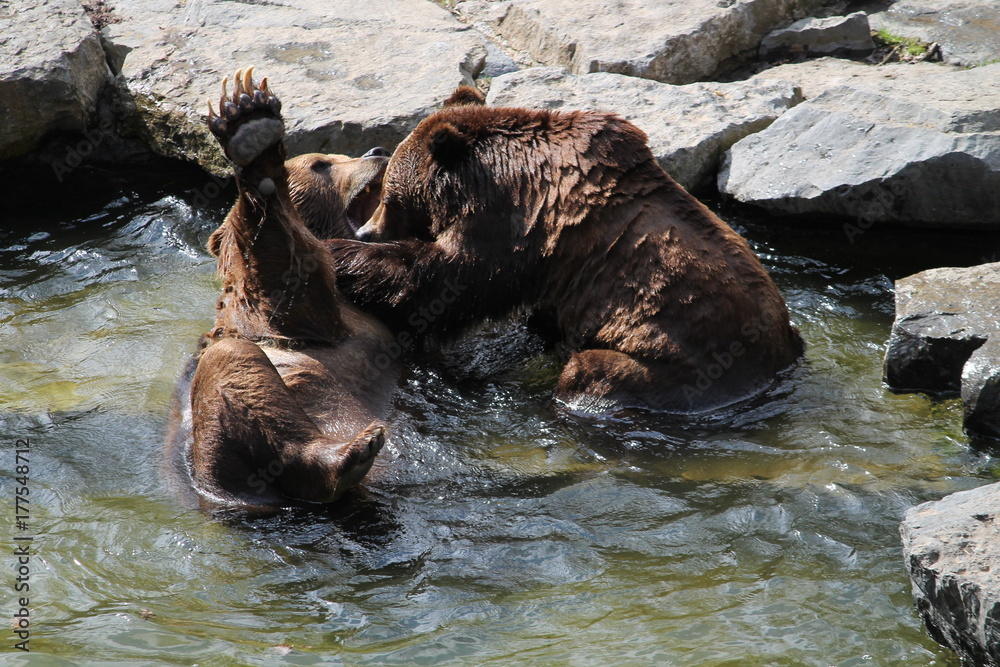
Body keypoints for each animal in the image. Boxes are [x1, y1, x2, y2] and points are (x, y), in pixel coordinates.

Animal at [166, 68, 398, 508]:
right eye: (322, 163)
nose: (378, 149)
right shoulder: (275, 314)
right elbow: (284, 272)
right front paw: (250, 125)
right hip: (210, 443)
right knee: (238, 368)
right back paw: (351, 454)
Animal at [324, 88, 803, 414]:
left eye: (389, 198)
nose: (368, 230)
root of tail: (775, 370)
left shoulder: (508, 228)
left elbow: (446, 280)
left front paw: (338, 252)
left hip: (678, 364)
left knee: (592, 373)